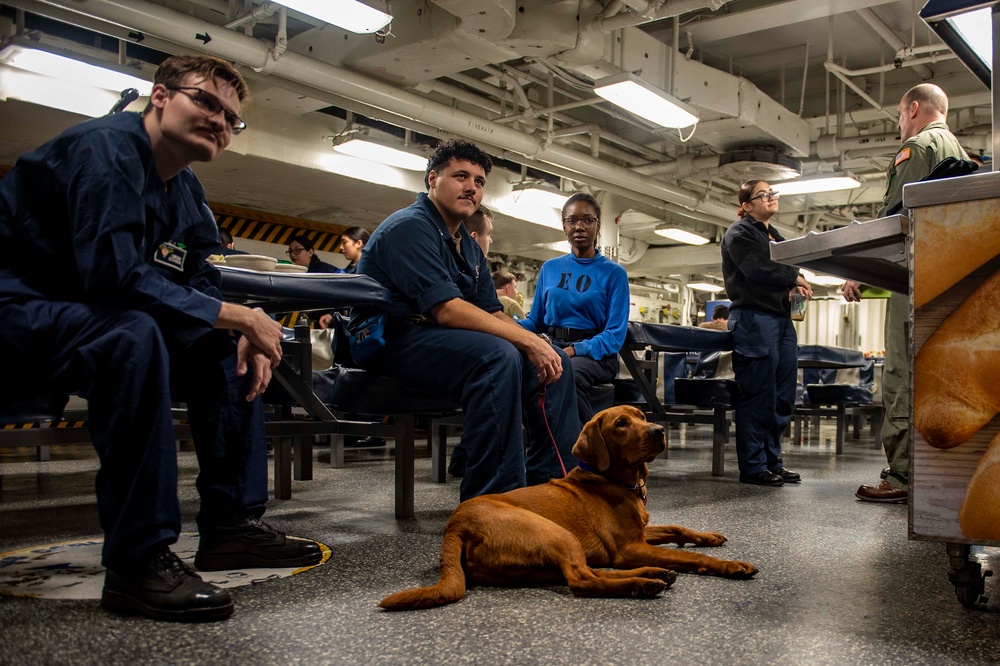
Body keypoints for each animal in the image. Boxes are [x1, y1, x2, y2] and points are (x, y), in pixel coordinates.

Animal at [382, 402, 756, 608]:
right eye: (621, 424)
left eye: (640, 415)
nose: (659, 430)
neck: (620, 481)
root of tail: (455, 525)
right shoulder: (629, 548)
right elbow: (691, 558)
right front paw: (730, 565)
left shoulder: (641, 533)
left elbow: (678, 528)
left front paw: (708, 536)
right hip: (557, 534)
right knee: (582, 580)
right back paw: (643, 584)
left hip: (543, 559)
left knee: (587, 572)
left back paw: (653, 575)